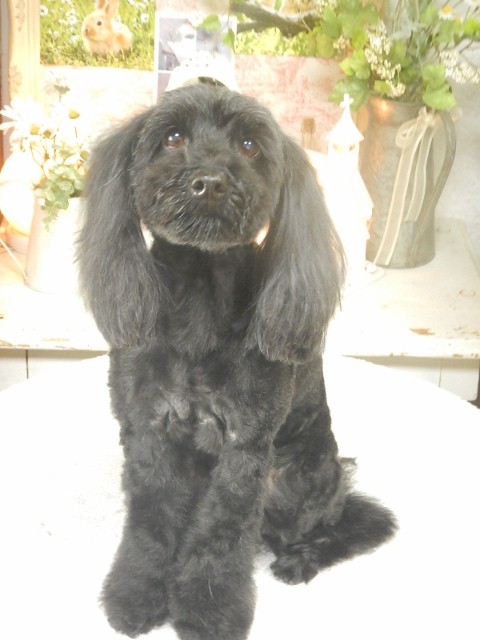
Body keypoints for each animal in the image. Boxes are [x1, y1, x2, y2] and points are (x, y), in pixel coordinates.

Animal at [77, 83, 397, 640]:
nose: (209, 181)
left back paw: (299, 560)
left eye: (249, 146)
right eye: (172, 137)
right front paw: (138, 592)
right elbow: (151, 519)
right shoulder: (147, 429)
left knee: (340, 525)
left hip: (295, 482)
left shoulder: (245, 445)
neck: (200, 298)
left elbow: (222, 532)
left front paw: (209, 613)